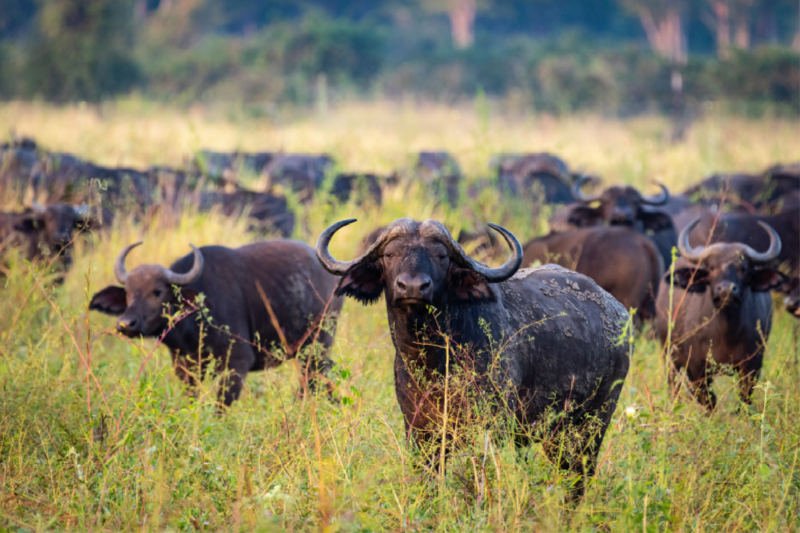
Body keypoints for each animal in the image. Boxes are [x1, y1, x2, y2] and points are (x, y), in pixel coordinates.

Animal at [88, 239, 344, 406]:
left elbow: (221, 407)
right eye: (128, 293)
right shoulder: (185, 368)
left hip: (317, 345)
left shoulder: (237, 364)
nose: (125, 323)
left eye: (157, 292)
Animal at [318, 216, 632, 498]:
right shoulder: (420, 433)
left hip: (593, 422)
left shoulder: (492, 428)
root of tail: (618, 310)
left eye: (441, 256)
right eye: (389, 254)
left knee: (578, 477)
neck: (433, 363)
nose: (412, 287)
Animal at [660, 218, 784, 410]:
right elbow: (708, 400)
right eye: (711, 267)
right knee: (674, 387)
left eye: (743, 268)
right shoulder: (696, 366)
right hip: (669, 356)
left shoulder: (752, 365)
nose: (726, 290)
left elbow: (744, 399)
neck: (728, 333)